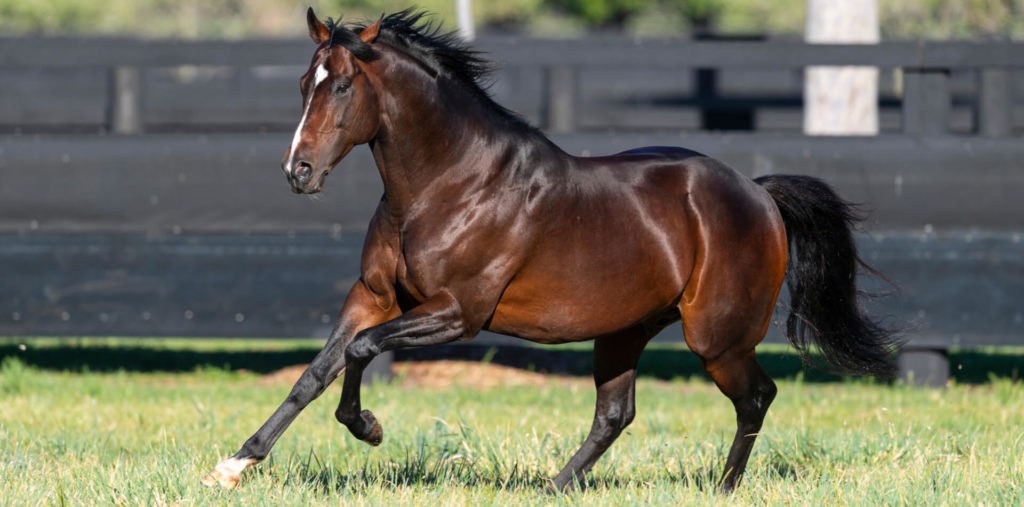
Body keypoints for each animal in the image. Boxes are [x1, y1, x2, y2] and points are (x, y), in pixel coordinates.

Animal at [202, 8, 899, 493]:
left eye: (343, 86)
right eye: (303, 83)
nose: (297, 172)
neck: (449, 184)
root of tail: (757, 193)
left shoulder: (458, 313)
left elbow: (359, 351)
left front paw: (369, 428)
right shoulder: (373, 296)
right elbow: (316, 372)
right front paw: (234, 465)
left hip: (717, 337)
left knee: (755, 397)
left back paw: (724, 490)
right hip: (624, 329)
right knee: (615, 414)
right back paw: (552, 486)